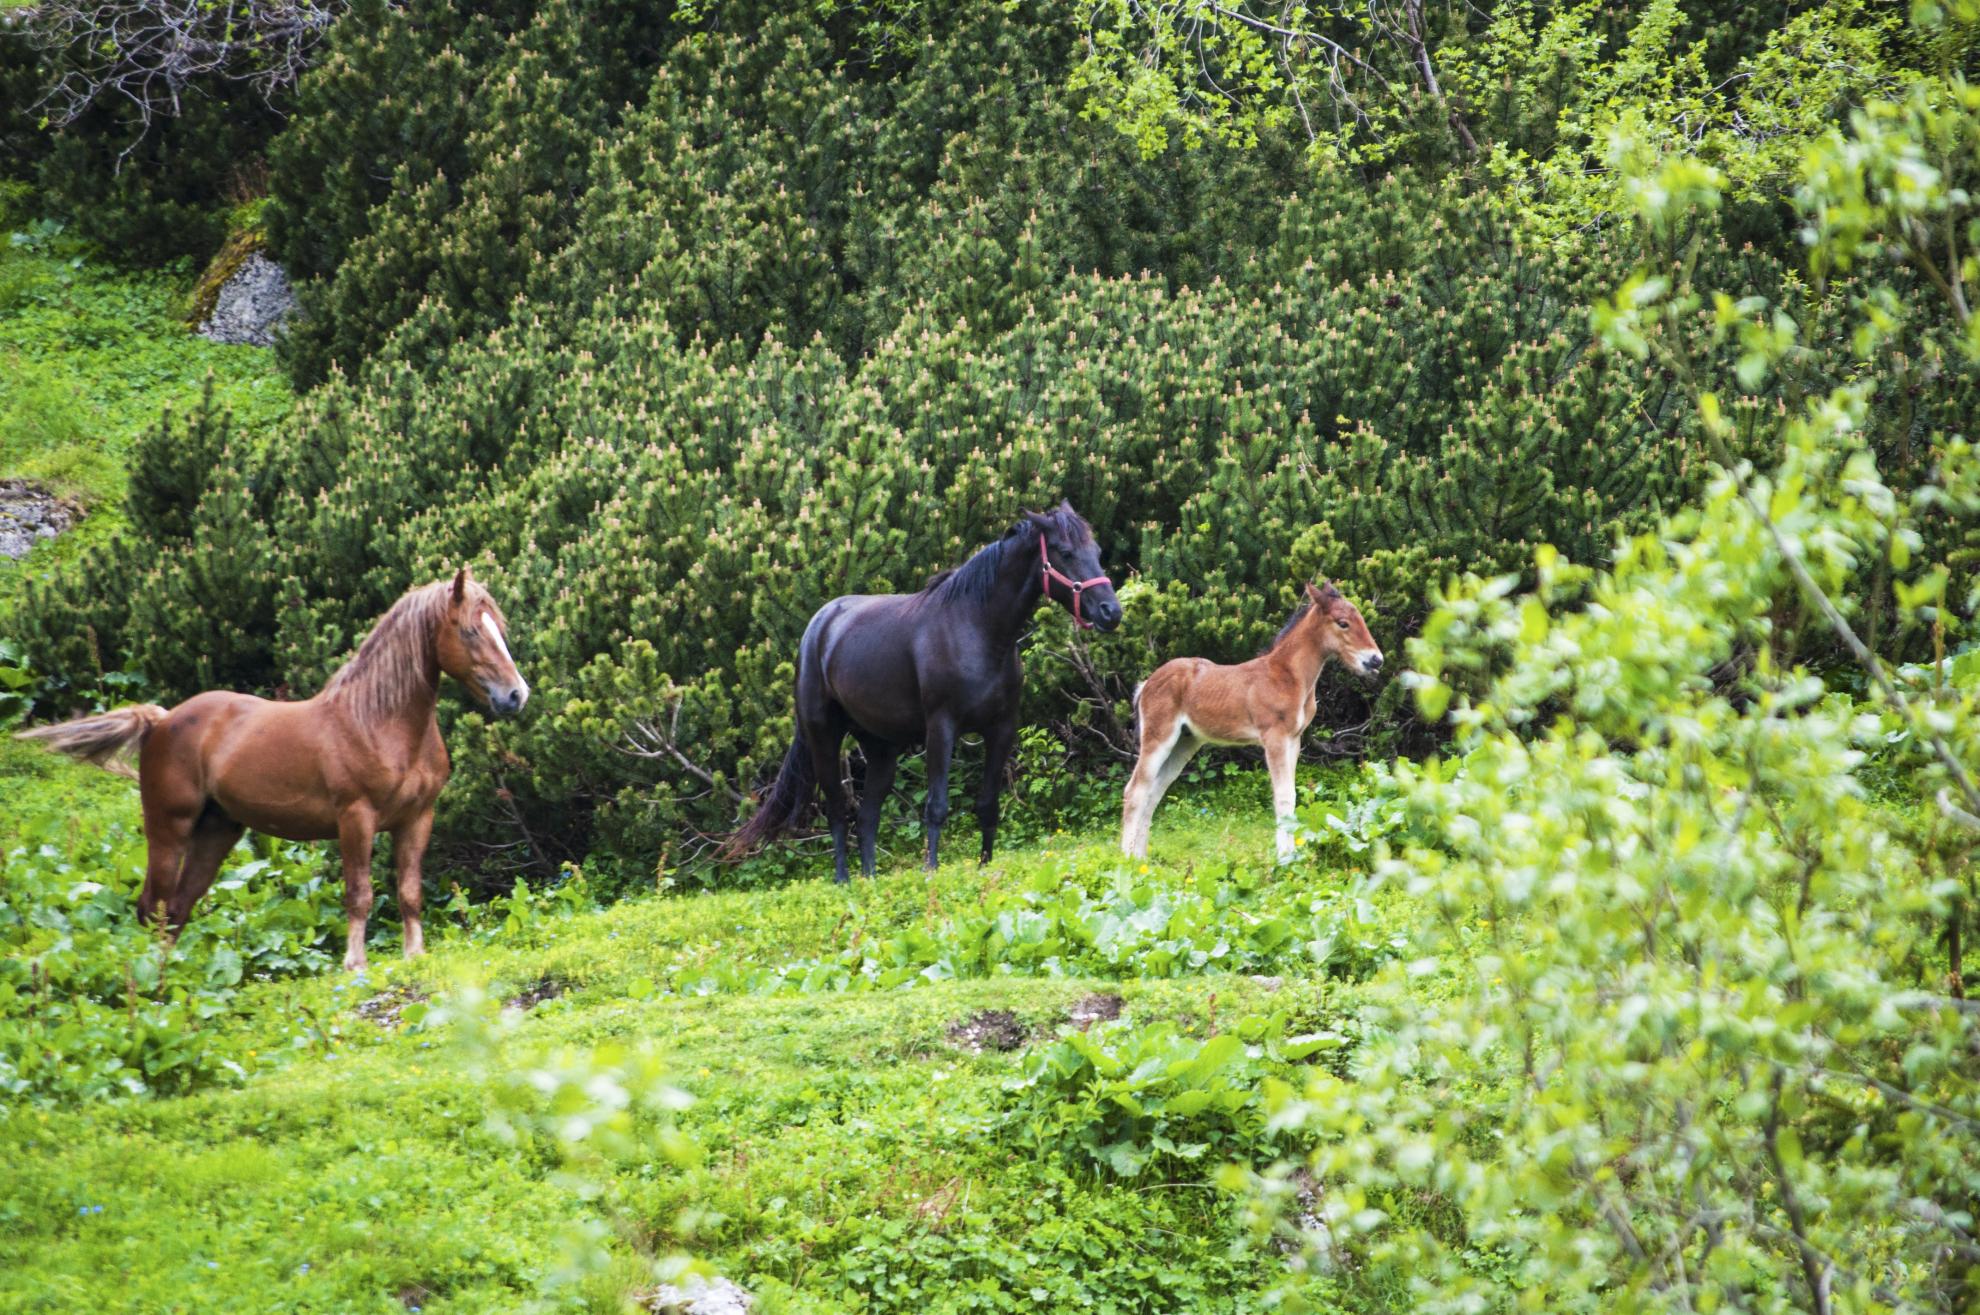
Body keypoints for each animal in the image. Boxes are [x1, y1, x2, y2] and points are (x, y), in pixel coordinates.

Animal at [17, 568, 528, 972]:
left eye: (498, 627)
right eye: (469, 631)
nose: (515, 696)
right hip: (169, 830)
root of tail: (161, 720)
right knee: (155, 908)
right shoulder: (355, 818)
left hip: (217, 832)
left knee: (177, 909)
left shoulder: (417, 819)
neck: (378, 721)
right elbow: (360, 893)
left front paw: (413, 956)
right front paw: (354, 964)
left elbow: (409, 892)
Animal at [724, 501, 1123, 881]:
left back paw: (870, 881)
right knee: (837, 811)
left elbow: (988, 805)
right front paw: (930, 870)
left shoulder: (1001, 729)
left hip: (881, 749)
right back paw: (844, 880)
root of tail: (819, 626)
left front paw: (985, 867)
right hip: (824, 736)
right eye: (1064, 552)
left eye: (1097, 550)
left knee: (867, 818)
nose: (1111, 612)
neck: (976, 629)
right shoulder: (941, 728)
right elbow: (937, 806)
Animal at [1121, 581, 1382, 864]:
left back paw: (1142, 861)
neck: (1287, 677)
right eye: (1343, 623)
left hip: (1185, 743)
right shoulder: (1274, 738)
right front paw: (1284, 858)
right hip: (1159, 737)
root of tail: (1146, 684)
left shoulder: (1294, 740)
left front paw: (1293, 855)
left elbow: (1291, 794)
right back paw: (1126, 860)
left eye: (1361, 618)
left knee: (1153, 793)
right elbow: (1282, 795)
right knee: (1135, 791)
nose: (1376, 660)